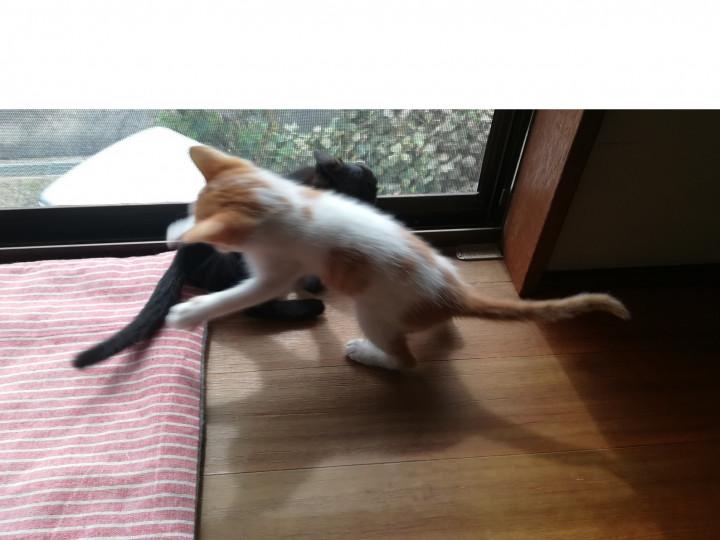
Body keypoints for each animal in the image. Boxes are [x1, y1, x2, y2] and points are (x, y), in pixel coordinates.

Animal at [164, 146, 630, 371]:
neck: (280, 200)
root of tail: (452, 293)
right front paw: (177, 230)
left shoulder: (278, 273)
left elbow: (242, 295)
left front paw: (189, 312)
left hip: (374, 312)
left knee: (407, 361)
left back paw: (369, 354)